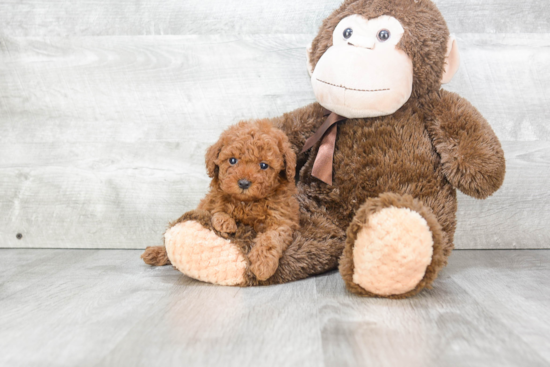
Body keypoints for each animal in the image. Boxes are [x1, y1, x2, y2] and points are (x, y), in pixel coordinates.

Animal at [198, 121, 300, 282]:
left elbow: (271, 238)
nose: (244, 183)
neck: (248, 203)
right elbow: (217, 208)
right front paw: (225, 222)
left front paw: (263, 264)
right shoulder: (211, 201)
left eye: (264, 165)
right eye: (232, 160)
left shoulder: (282, 220)